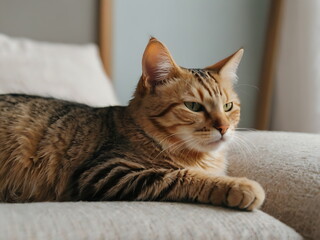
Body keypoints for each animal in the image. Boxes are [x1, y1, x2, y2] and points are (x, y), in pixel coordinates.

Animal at [0, 38, 264, 210]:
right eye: (193, 106)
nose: (224, 128)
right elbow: (183, 176)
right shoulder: (106, 172)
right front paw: (239, 186)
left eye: (228, 107)